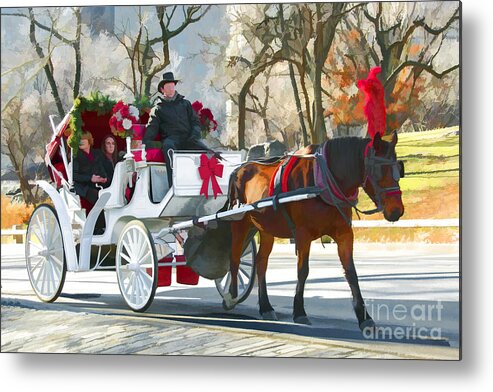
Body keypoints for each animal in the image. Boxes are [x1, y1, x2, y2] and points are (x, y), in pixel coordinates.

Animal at [222, 132, 404, 330]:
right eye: (379, 172)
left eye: (399, 169)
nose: (397, 211)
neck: (323, 180)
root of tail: (238, 169)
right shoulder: (303, 234)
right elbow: (303, 271)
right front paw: (299, 311)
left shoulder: (344, 234)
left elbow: (351, 272)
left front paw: (364, 317)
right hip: (240, 223)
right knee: (234, 259)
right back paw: (231, 297)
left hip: (266, 228)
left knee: (261, 263)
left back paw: (265, 307)